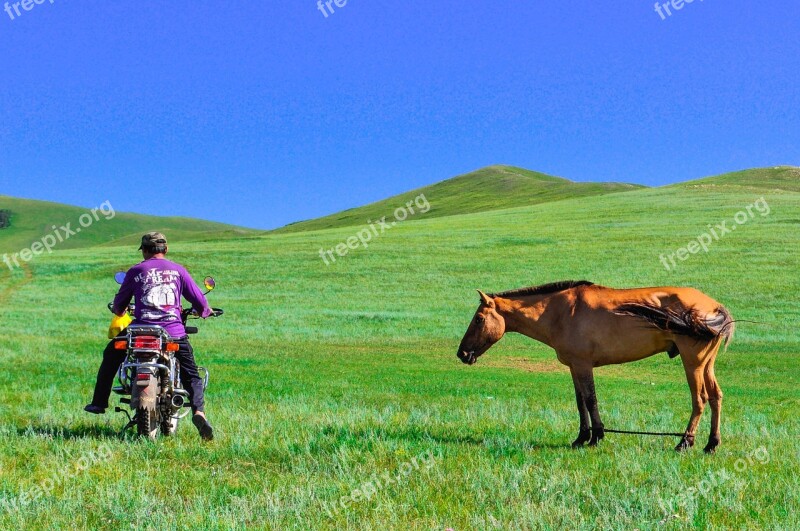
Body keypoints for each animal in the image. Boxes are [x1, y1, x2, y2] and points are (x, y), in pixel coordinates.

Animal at [460, 282, 736, 454]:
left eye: (479, 319)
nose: (461, 353)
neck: (560, 312)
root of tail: (714, 306)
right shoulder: (574, 366)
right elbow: (580, 401)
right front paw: (581, 437)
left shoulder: (584, 365)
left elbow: (591, 399)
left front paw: (596, 436)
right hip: (707, 365)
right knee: (715, 397)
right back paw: (711, 444)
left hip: (693, 364)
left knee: (699, 400)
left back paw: (684, 443)